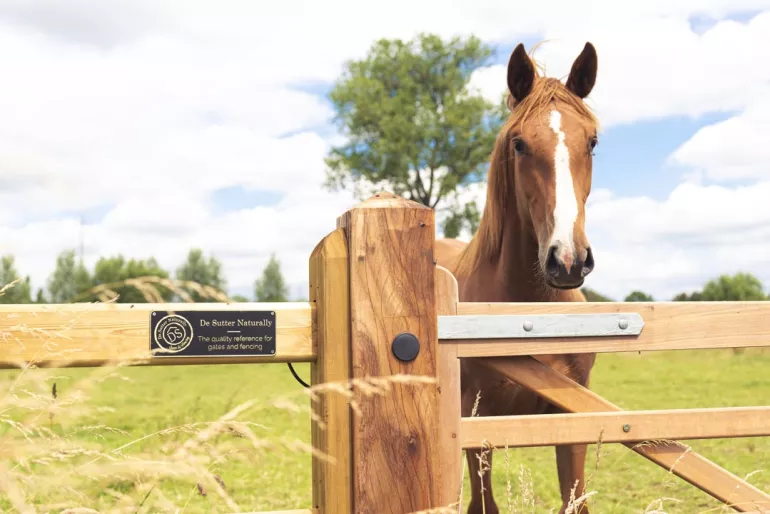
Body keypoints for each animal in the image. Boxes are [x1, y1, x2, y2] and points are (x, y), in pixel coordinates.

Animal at [435, 41, 600, 514]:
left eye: (593, 142)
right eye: (520, 143)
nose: (567, 260)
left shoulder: (572, 419)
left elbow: (574, 500)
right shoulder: (477, 425)